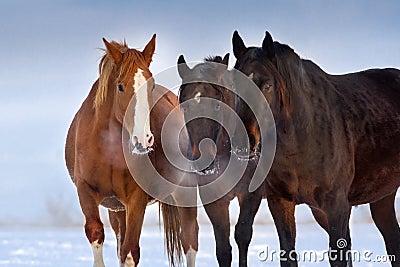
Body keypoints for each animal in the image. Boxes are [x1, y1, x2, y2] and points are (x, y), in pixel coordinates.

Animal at [64, 35, 200, 266]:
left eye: (151, 86)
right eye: (120, 86)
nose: (143, 140)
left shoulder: (136, 199)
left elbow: (129, 252)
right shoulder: (86, 191)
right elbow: (97, 235)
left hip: (184, 191)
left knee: (190, 240)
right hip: (117, 211)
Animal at [231, 30, 400, 266]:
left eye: (267, 86)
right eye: (235, 85)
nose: (244, 140)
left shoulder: (337, 206)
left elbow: (338, 254)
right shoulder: (281, 201)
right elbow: (288, 254)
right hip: (382, 198)